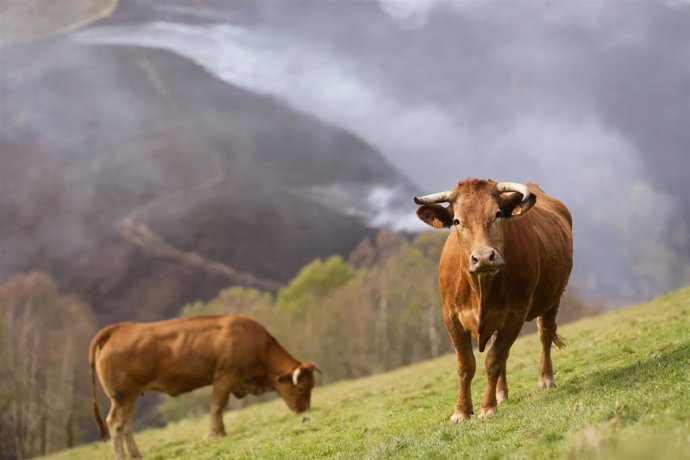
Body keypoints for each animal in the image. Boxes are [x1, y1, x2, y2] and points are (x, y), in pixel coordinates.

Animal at [88, 316, 320, 460]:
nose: (305, 411)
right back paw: (122, 456)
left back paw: (137, 454)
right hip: (122, 397)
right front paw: (216, 433)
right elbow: (217, 406)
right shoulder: (225, 377)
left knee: (126, 424)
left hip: (131, 396)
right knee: (115, 423)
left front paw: (221, 431)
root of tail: (117, 329)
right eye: (301, 389)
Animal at [414, 178, 568, 422]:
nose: (484, 257)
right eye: (457, 221)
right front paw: (461, 411)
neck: (480, 289)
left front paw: (487, 407)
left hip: (553, 298)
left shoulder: (515, 315)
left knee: (545, 334)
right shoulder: (451, 317)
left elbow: (494, 360)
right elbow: (466, 365)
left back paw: (545, 379)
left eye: (497, 214)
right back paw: (501, 394)